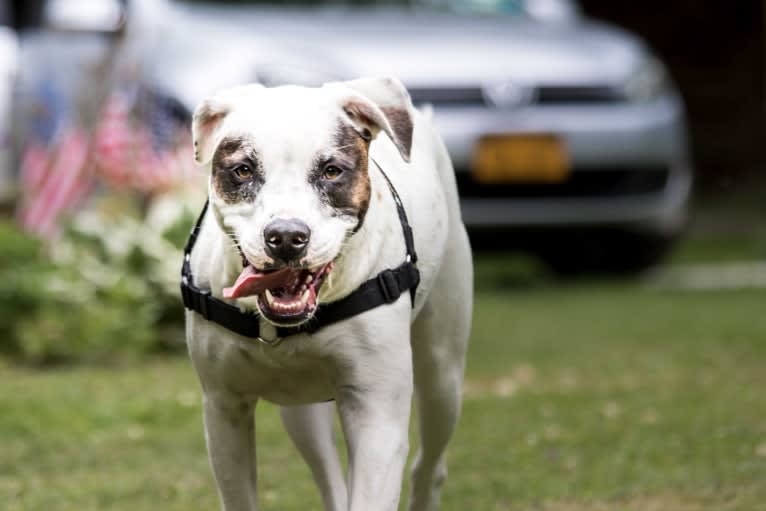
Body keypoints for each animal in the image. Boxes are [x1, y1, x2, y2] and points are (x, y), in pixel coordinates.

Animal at [184, 77, 474, 511]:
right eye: (243, 170)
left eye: (332, 170)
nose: (286, 236)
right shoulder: (224, 409)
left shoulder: (376, 414)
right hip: (300, 409)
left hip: (443, 375)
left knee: (430, 465)